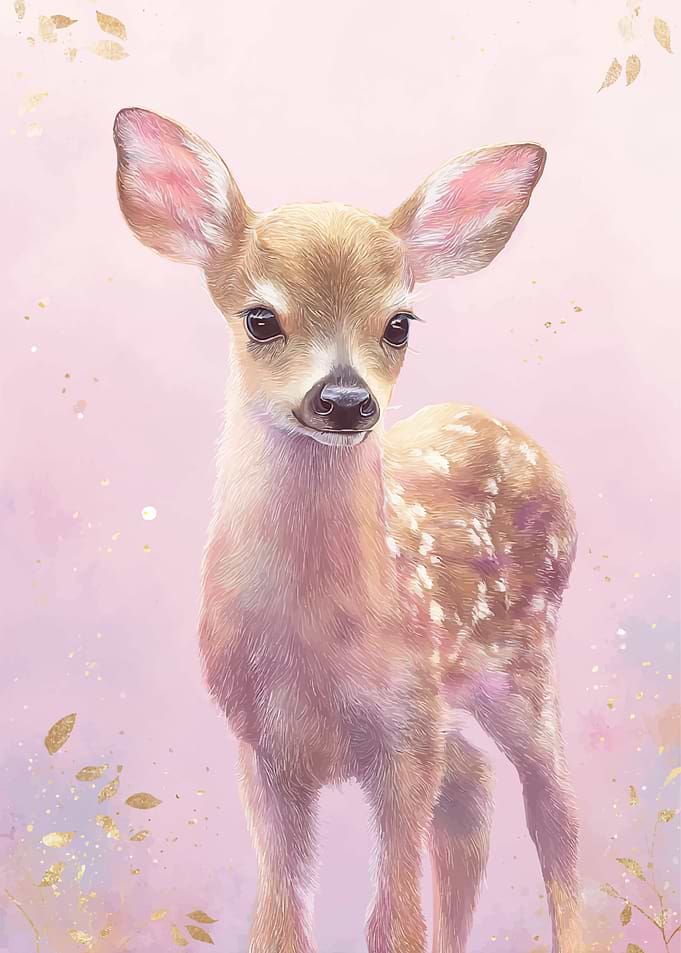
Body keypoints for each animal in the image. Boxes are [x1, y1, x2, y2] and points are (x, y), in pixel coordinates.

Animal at [113, 107, 581, 953]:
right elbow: (278, 919)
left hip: (521, 658)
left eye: (397, 323)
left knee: (551, 810)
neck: (312, 646)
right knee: (472, 790)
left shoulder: (401, 729)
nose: (343, 398)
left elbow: (392, 921)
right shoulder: (262, 745)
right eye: (260, 318)